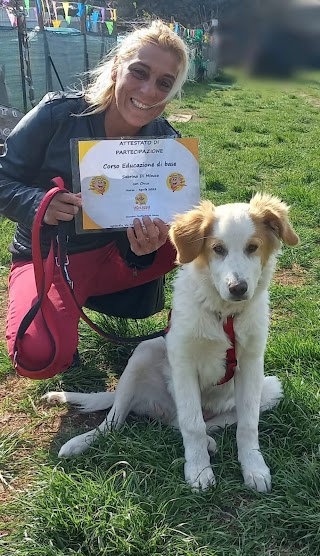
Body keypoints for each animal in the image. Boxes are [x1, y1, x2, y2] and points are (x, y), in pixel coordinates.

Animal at [43, 192, 298, 490]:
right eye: (218, 249)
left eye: (253, 247)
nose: (238, 289)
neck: (223, 315)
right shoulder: (184, 362)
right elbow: (192, 424)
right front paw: (199, 471)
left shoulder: (251, 363)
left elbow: (248, 424)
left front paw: (254, 468)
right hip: (144, 352)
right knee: (116, 422)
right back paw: (81, 442)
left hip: (271, 389)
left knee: (192, 423)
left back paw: (210, 441)